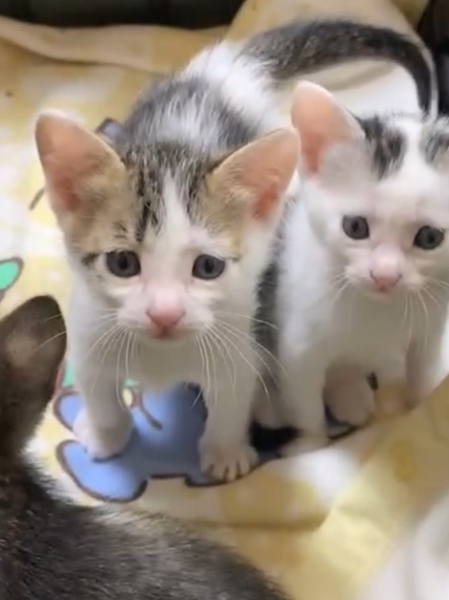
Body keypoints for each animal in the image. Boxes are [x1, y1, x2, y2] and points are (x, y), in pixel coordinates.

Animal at [271, 81, 449, 453]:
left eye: (429, 237)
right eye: (355, 227)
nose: (385, 275)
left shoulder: (430, 327)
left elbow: (425, 375)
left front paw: (425, 411)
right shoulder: (298, 346)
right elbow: (306, 404)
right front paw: (310, 445)